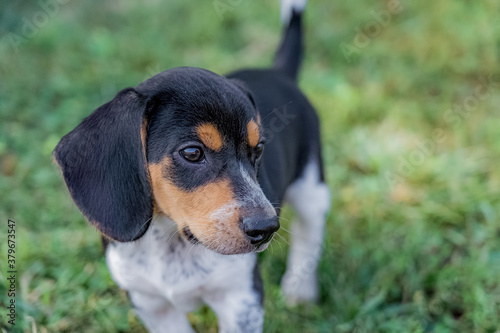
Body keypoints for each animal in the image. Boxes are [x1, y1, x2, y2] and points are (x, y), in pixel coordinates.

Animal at [52, 1, 330, 330]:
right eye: (193, 153)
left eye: (259, 148)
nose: (266, 228)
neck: (173, 241)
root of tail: (278, 73)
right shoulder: (151, 304)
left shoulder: (240, 298)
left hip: (312, 187)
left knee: (308, 233)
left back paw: (300, 289)